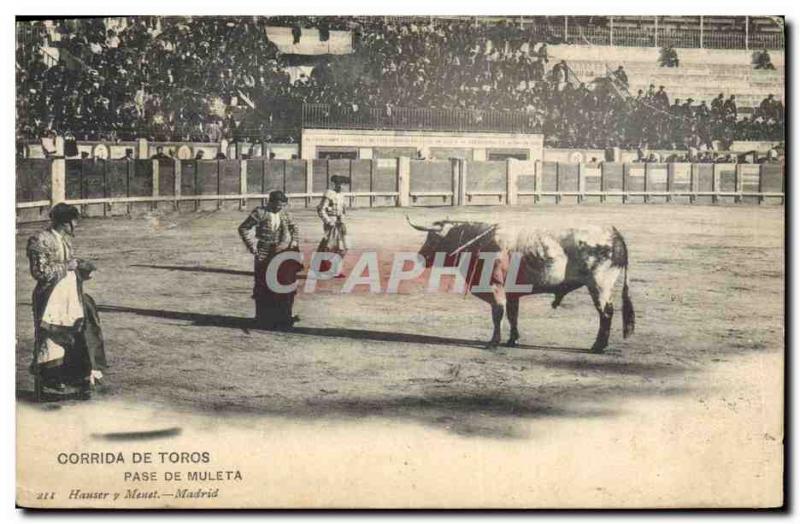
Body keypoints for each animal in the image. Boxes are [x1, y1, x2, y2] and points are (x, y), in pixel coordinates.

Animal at [410, 217, 636, 352]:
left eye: (432, 238)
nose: (420, 257)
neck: (479, 244)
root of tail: (613, 233)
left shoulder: (495, 287)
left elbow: (498, 314)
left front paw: (493, 342)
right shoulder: (511, 293)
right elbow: (512, 315)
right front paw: (513, 340)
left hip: (599, 285)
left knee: (606, 313)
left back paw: (598, 346)